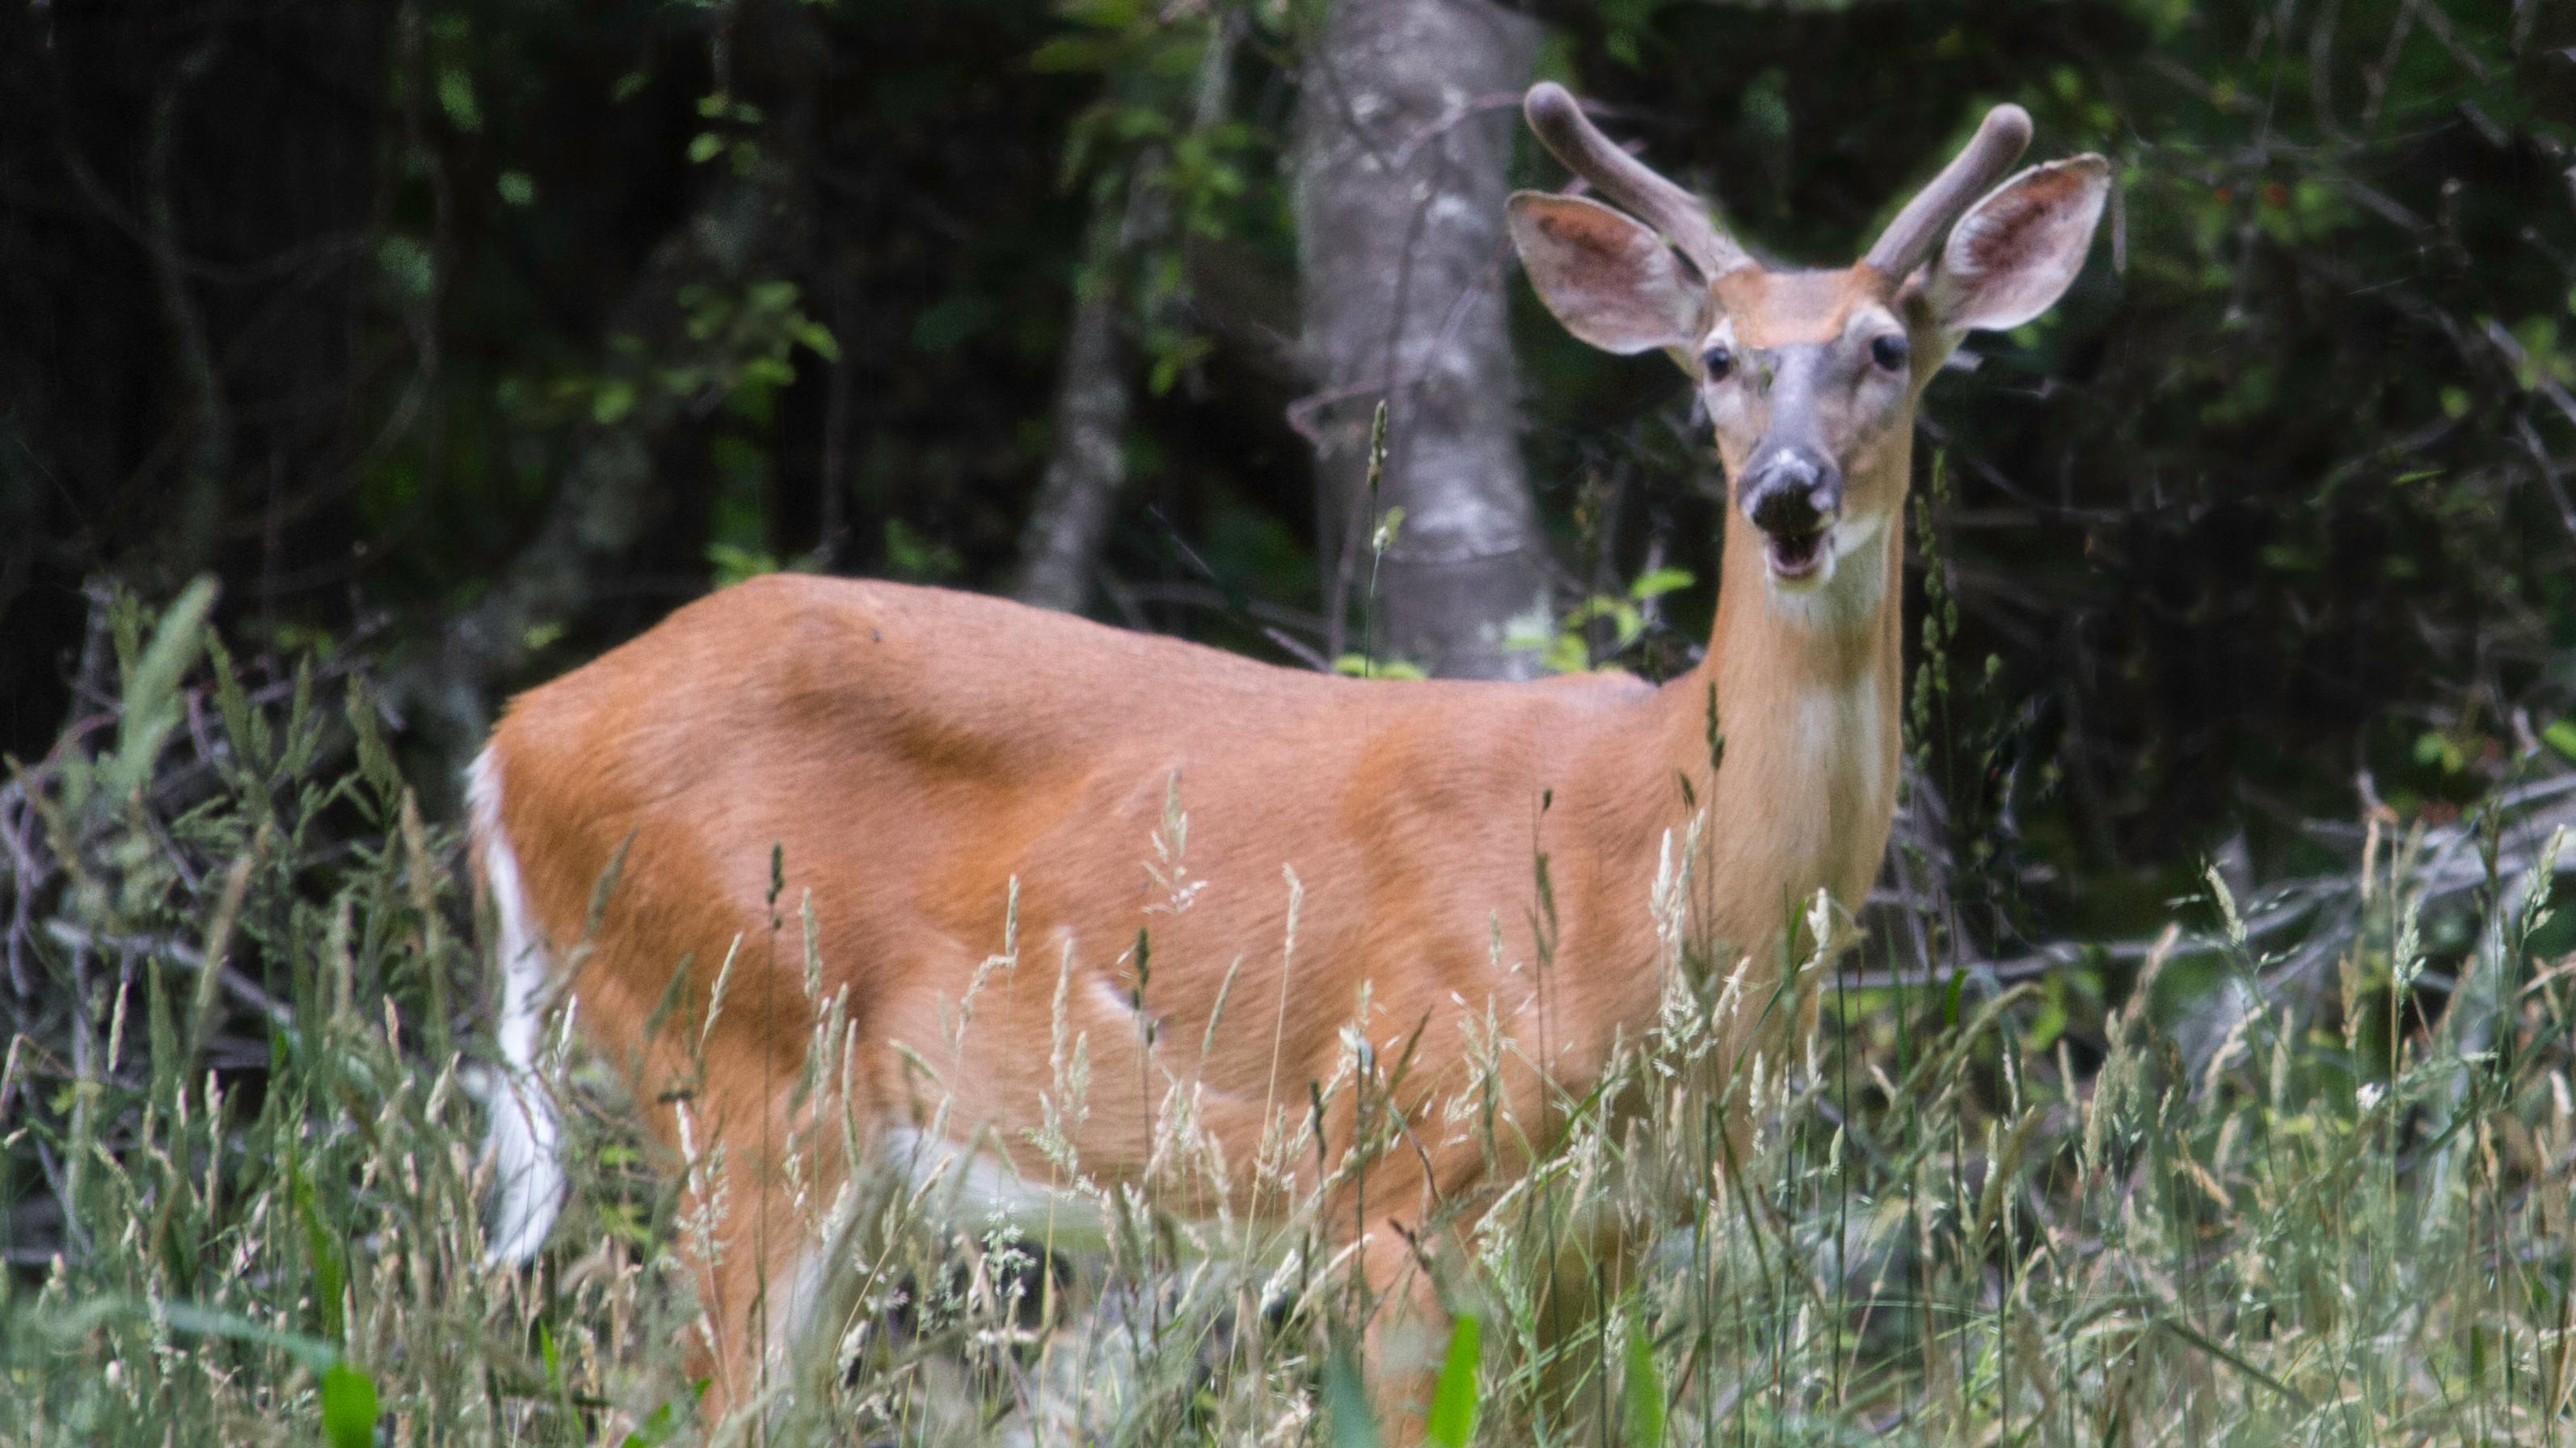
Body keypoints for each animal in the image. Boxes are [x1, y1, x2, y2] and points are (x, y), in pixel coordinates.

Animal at [468, 80, 2108, 1437]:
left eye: (1886, 348)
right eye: (1715, 359)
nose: (1784, 493)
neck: (1649, 852)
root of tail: (510, 740)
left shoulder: (1610, 1229)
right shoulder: (1397, 1171)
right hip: (738, 1056)